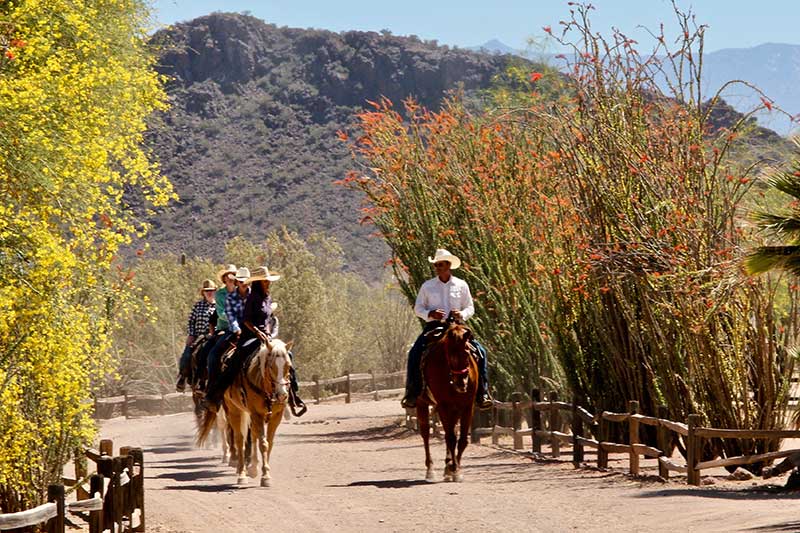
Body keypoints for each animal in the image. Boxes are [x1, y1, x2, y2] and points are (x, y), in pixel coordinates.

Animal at [198, 338, 294, 484]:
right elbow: (263, 443)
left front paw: (263, 471)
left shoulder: (276, 416)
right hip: (233, 410)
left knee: (250, 435)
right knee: (239, 438)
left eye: (288, 366)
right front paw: (265, 476)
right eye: (271, 366)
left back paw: (251, 467)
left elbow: (269, 443)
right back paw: (241, 473)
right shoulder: (257, 414)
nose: (282, 395)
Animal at [416, 320, 478, 482]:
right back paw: (430, 470)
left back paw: (447, 465)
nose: (461, 383)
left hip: (454, 409)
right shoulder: (443, 405)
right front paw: (455, 470)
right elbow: (450, 438)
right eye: (450, 354)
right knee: (426, 434)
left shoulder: (467, 406)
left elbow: (462, 440)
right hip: (422, 404)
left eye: (467, 352)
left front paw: (455, 469)